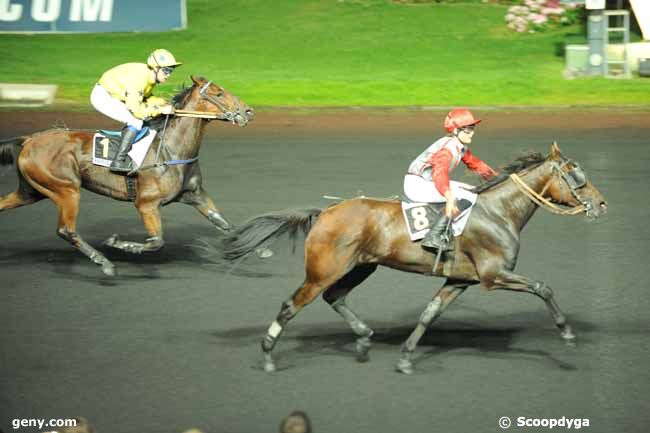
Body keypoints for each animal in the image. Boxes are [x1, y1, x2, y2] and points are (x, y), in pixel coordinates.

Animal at [0, 75, 252, 276]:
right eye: (219, 93)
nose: (247, 111)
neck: (170, 150)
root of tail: (29, 139)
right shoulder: (147, 204)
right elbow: (156, 241)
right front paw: (119, 244)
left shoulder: (195, 195)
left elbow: (226, 225)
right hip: (66, 190)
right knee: (66, 230)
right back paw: (104, 262)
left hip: (32, 191)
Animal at [220, 142, 604, 372]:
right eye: (576, 175)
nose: (601, 204)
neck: (498, 211)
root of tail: (325, 212)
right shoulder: (493, 275)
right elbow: (543, 287)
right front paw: (567, 334)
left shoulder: (459, 279)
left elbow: (429, 313)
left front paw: (405, 358)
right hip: (323, 271)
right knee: (292, 305)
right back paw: (268, 354)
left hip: (361, 267)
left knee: (335, 297)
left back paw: (363, 338)